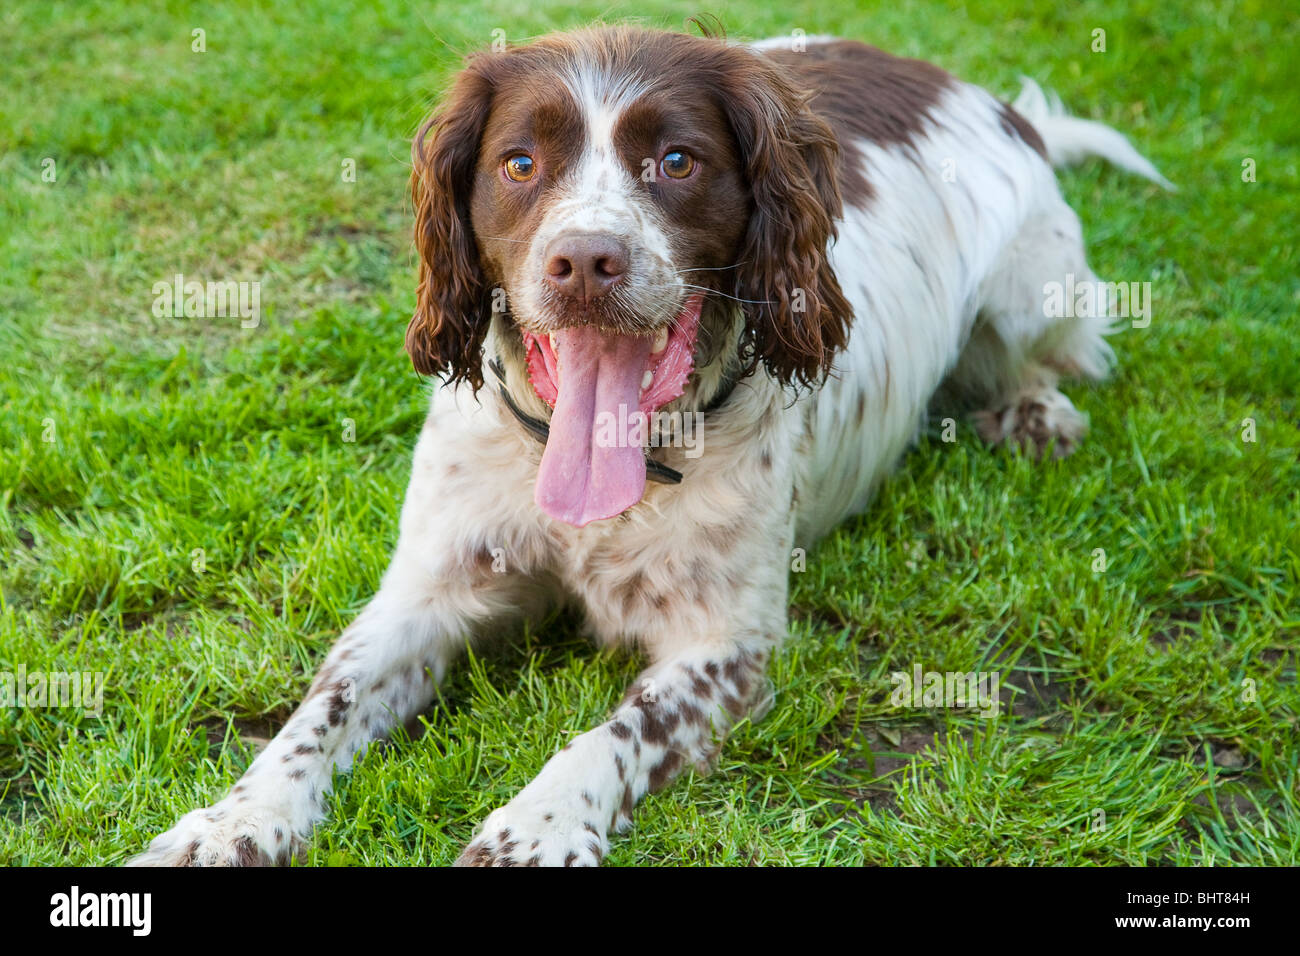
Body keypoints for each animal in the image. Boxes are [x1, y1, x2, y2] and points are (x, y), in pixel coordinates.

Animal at [129, 24, 1170, 868]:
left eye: (676, 160)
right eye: (519, 163)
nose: (587, 260)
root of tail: (974, 91)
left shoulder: (729, 644)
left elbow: (614, 733)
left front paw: (535, 828)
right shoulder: (428, 589)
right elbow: (319, 711)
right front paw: (234, 822)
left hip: (1033, 286)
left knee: (1042, 355)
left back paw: (1035, 414)